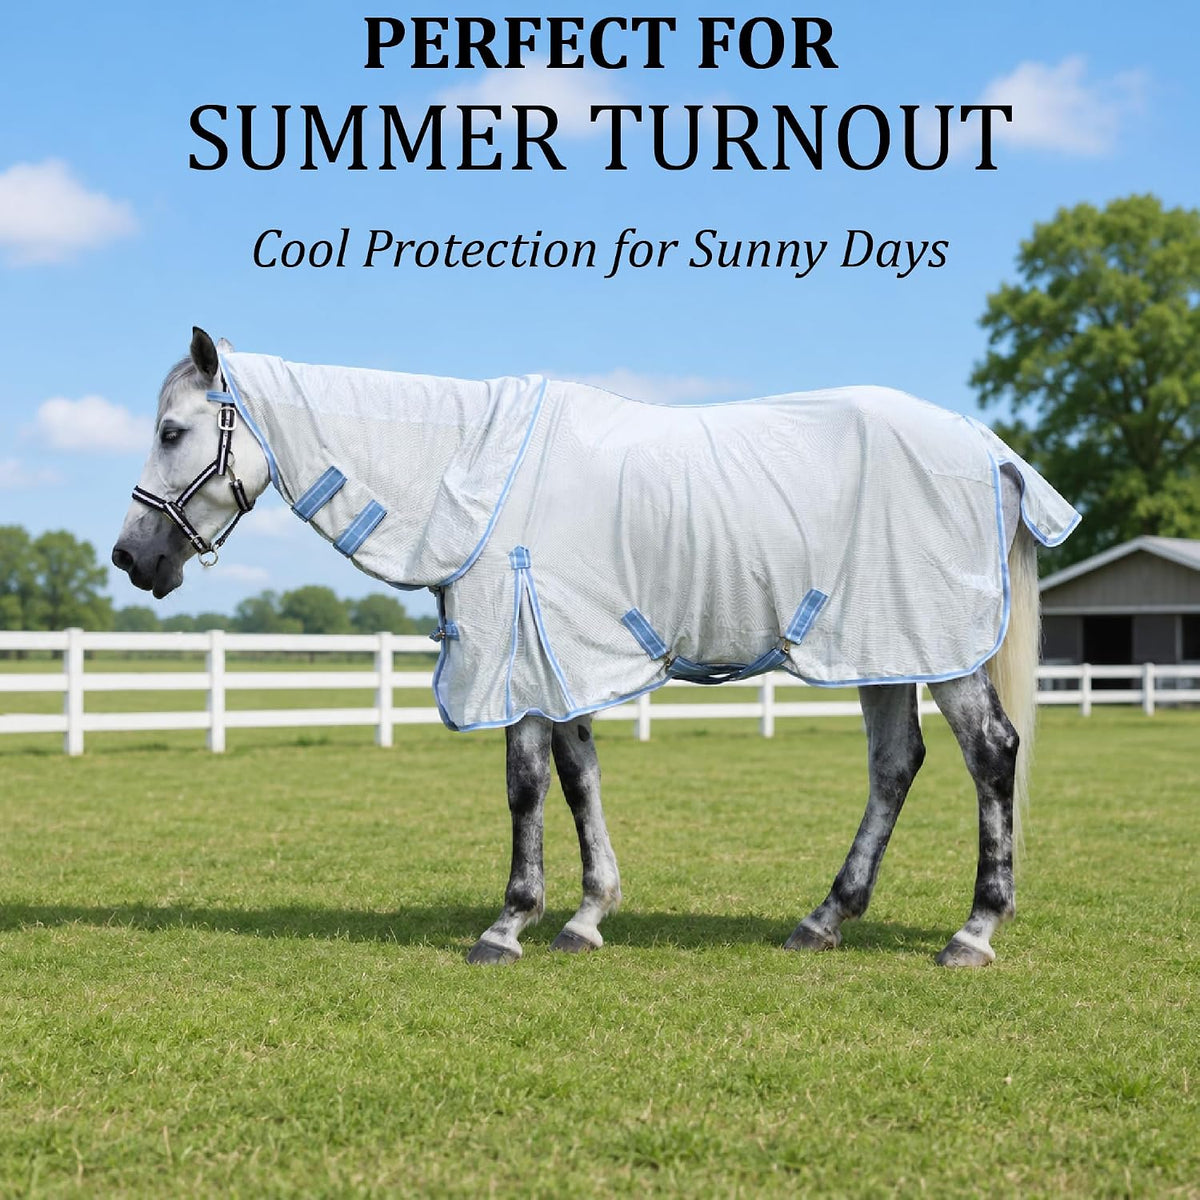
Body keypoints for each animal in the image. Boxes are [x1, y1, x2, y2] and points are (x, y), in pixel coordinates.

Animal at [113, 328, 1078, 968]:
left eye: (171, 432)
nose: (131, 557)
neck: (470, 473)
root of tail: (985, 448)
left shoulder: (518, 655)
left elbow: (526, 787)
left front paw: (508, 925)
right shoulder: (557, 656)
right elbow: (579, 780)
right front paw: (586, 917)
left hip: (938, 647)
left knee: (990, 754)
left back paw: (973, 931)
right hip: (880, 646)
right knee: (894, 764)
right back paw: (823, 920)